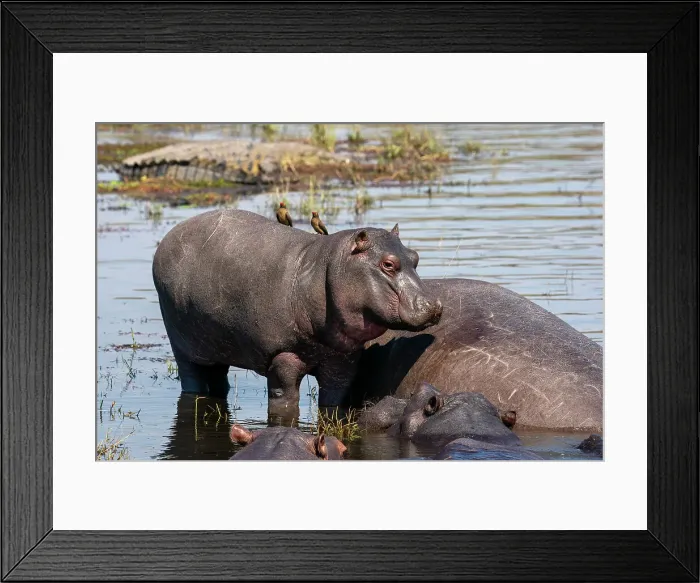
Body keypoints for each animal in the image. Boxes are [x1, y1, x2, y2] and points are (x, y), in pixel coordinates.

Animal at [153, 209, 442, 421]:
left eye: (415, 257)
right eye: (388, 264)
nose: (434, 305)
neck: (327, 267)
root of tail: (169, 236)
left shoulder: (343, 360)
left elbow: (333, 401)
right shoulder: (283, 358)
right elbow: (285, 400)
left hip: (216, 346)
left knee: (219, 380)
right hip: (183, 346)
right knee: (192, 379)